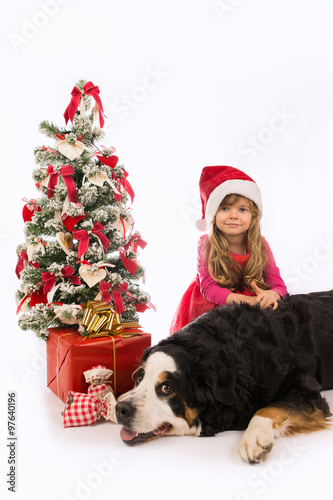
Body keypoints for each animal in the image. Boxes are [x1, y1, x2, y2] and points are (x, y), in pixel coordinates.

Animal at [115, 292, 332, 462]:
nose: (121, 409)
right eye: (140, 378)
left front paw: (254, 437)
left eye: (166, 388)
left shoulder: (303, 386)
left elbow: (267, 409)